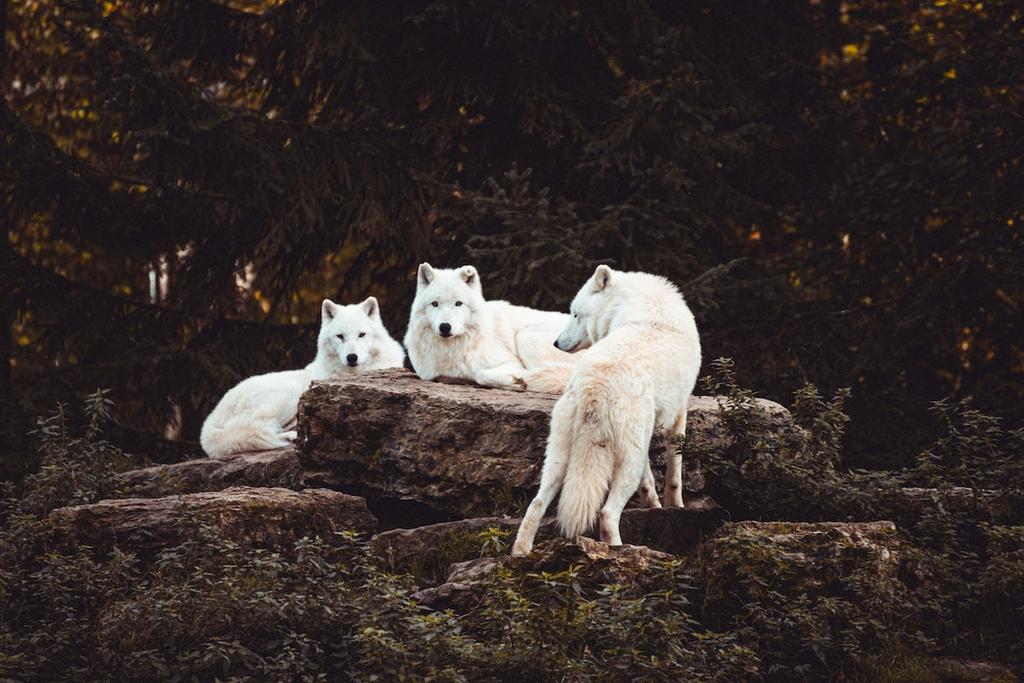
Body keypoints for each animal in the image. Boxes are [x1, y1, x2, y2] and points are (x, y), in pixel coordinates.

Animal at [200, 297, 405, 457]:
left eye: (362, 334)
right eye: (340, 336)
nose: (352, 357)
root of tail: (208, 425)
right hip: (290, 395)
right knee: (261, 429)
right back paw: (291, 437)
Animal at [404, 262, 580, 393]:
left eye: (458, 303)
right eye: (435, 304)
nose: (445, 327)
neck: (452, 350)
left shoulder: (510, 361)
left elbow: (479, 374)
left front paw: (516, 380)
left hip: (525, 336)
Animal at [511, 265, 701, 555]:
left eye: (575, 314)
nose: (556, 343)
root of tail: (596, 386)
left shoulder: (647, 433)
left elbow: (650, 479)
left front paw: (654, 505)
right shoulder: (678, 411)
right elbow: (674, 471)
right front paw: (674, 505)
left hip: (558, 458)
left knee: (536, 504)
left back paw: (520, 554)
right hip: (626, 463)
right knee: (607, 513)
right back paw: (620, 550)